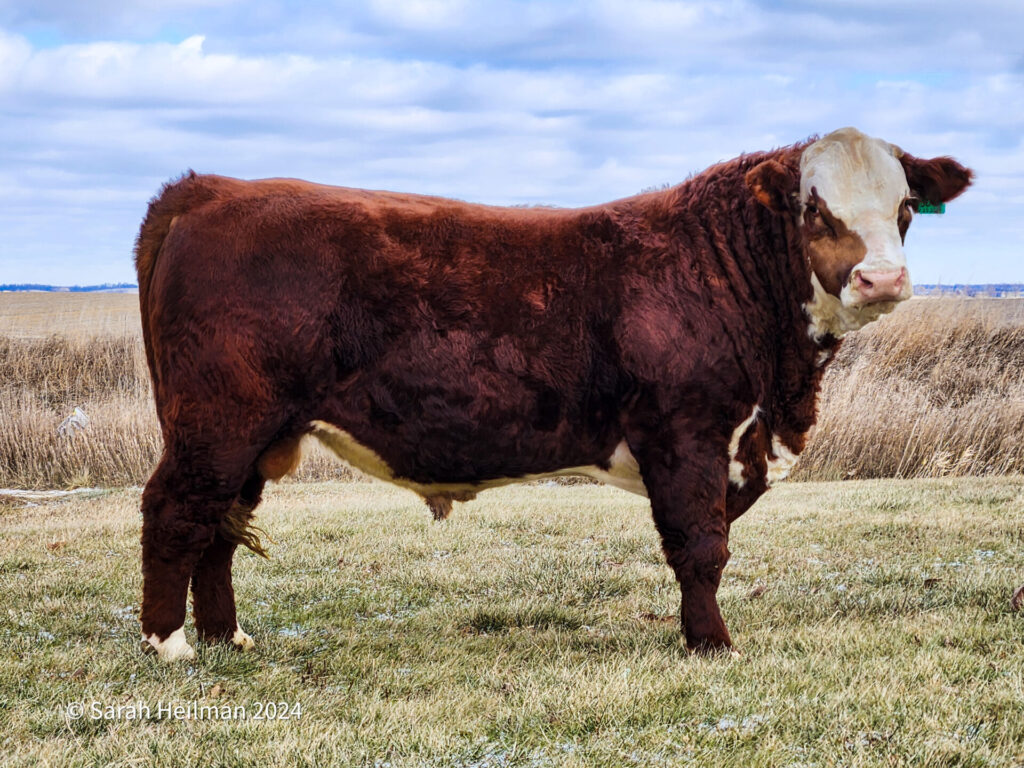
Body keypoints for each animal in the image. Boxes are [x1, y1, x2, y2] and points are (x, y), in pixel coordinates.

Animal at [134, 127, 972, 661]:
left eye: (904, 208)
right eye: (814, 208)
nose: (882, 279)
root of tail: (208, 190)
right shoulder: (686, 430)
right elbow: (701, 544)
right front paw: (711, 643)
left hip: (252, 433)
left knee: (221, 524)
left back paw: (225, 636)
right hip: (218, 419)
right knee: (177, 510)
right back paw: (169, 643)